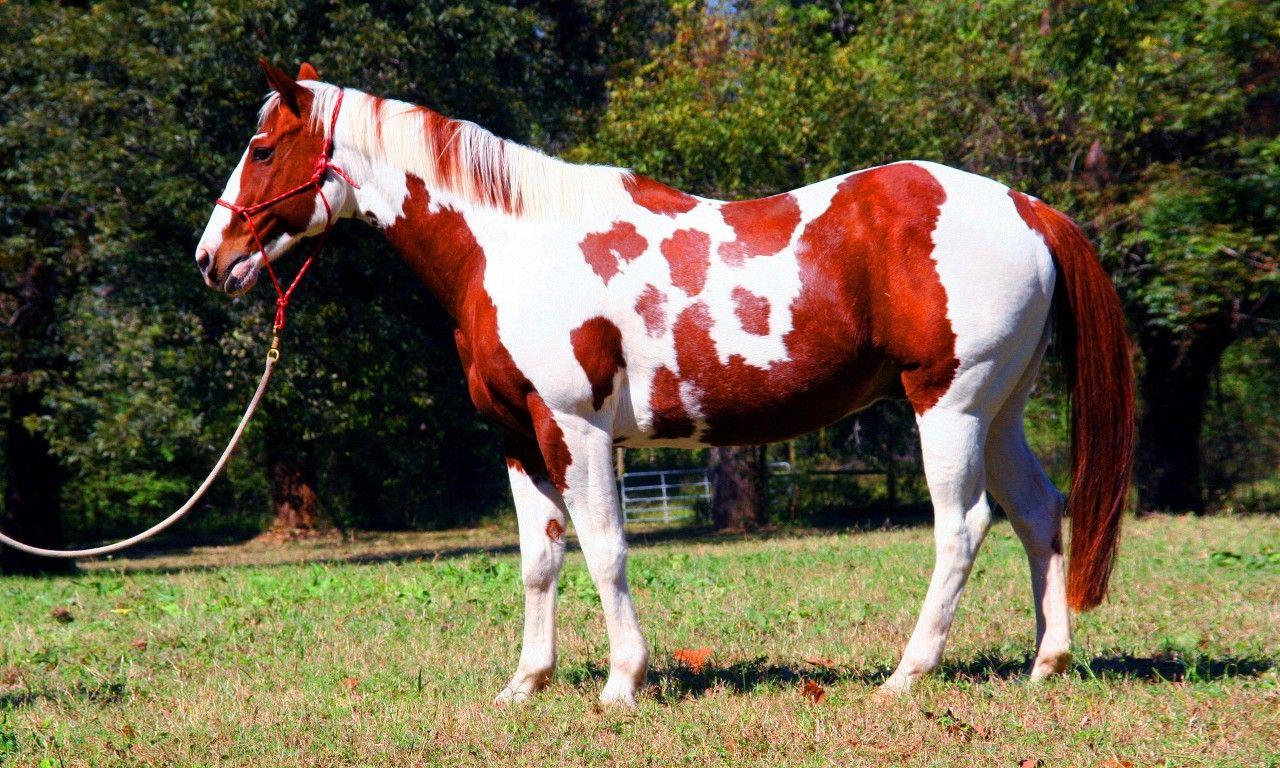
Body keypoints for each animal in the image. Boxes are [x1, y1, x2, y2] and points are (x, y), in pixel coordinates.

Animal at [197, 60, 1134, 706]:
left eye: (262, 148)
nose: (212, 258)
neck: (512, 247)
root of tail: (1023, 204)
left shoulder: (576, 430)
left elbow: (605, 549)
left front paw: (623, 683)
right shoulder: (517, 439)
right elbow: (539, 559)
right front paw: (525, 684)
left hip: (950, 405)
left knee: (962, 527)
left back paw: (907, 674)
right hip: (999, 410)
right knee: (1039, 512)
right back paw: (1046, 664)